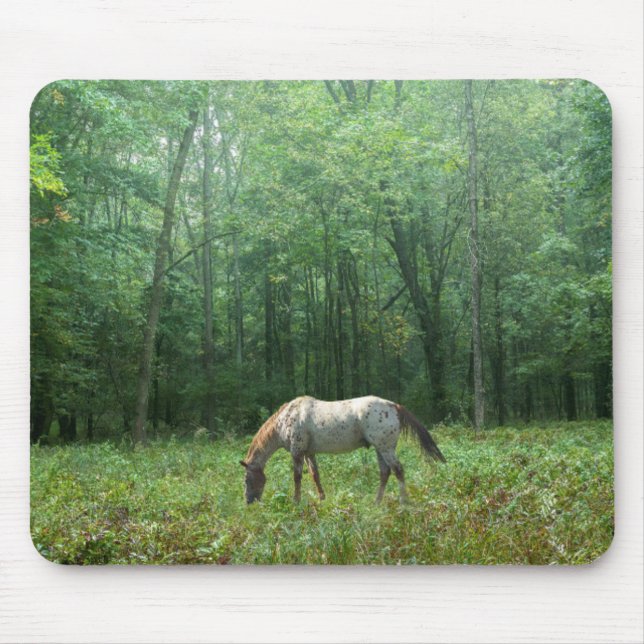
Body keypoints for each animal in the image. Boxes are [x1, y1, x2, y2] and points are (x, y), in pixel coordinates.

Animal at [239, 395, 446, 504]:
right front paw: (322, 498)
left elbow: (297, 477)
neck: (286, 419)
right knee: (385, 472)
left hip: (385, 448)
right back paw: (377, 502)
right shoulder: (309, 453)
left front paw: (296, 501)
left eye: (247, 479)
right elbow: (315, 475)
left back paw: (403, 501)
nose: (249, 501)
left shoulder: (297, 452)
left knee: (398, 470)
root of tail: (394, 406)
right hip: (380, 449)